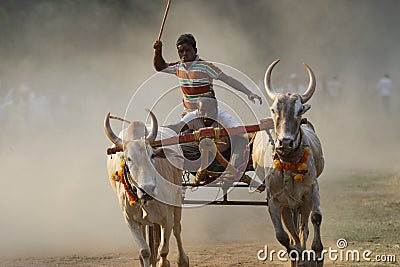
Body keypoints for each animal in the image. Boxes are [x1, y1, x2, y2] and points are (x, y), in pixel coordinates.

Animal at [104, 111, 189, 267]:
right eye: (128, 158)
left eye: (152, 155)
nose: (147, 188)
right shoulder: (130, 220)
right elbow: (145, 251)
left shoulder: (167, 218)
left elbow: (164, 249)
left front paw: (163, 263)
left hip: (177, 200)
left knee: (177, 229)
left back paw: (182, 260)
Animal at [253, 60, 324, 267]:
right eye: (274, 110)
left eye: (299, 111)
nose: (285, 142)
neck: (290, 163)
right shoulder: (274, 201)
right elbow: (283, 236)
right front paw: (296, 254)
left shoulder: (311, 191)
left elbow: (315, 219)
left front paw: (316, 253)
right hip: (287, 205)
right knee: (293, 232)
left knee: (302, 228)